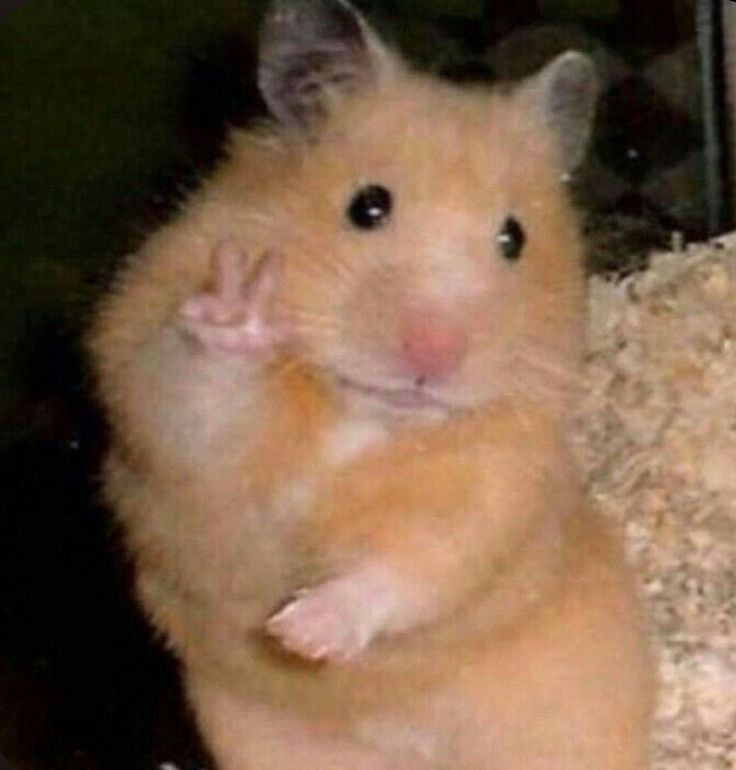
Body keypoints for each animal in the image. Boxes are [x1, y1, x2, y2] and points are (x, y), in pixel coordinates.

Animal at [89, 3, 652, 764]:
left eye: (514, 239)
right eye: (368, 206)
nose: (433, 355)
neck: (363, 417)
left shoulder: (497, 486)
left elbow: (415, 563)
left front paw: (300, 633)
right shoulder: (159, 405)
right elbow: (201, 394)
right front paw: (243, 306)